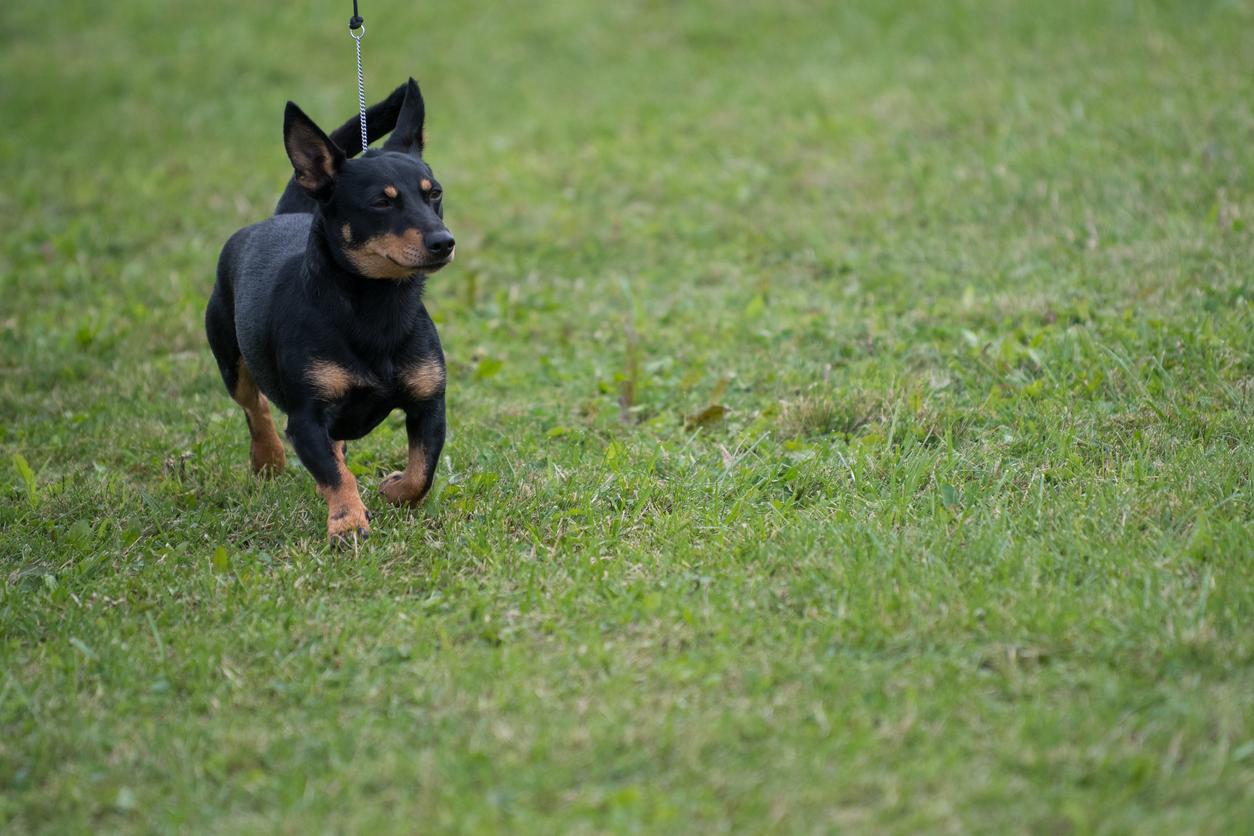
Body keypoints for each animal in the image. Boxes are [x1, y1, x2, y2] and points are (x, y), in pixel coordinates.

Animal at [205, 80, 456, 543]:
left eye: (435, 193)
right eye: (381, 203)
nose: (444, 242)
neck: (375, 308)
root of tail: (286, 215)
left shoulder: (430, 404)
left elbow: (422, 471)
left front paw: (395, 492)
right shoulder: (305, 420)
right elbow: (335, 474)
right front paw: (348, 521)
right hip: (229, 356)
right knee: (254, 406)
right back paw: (268, 458)